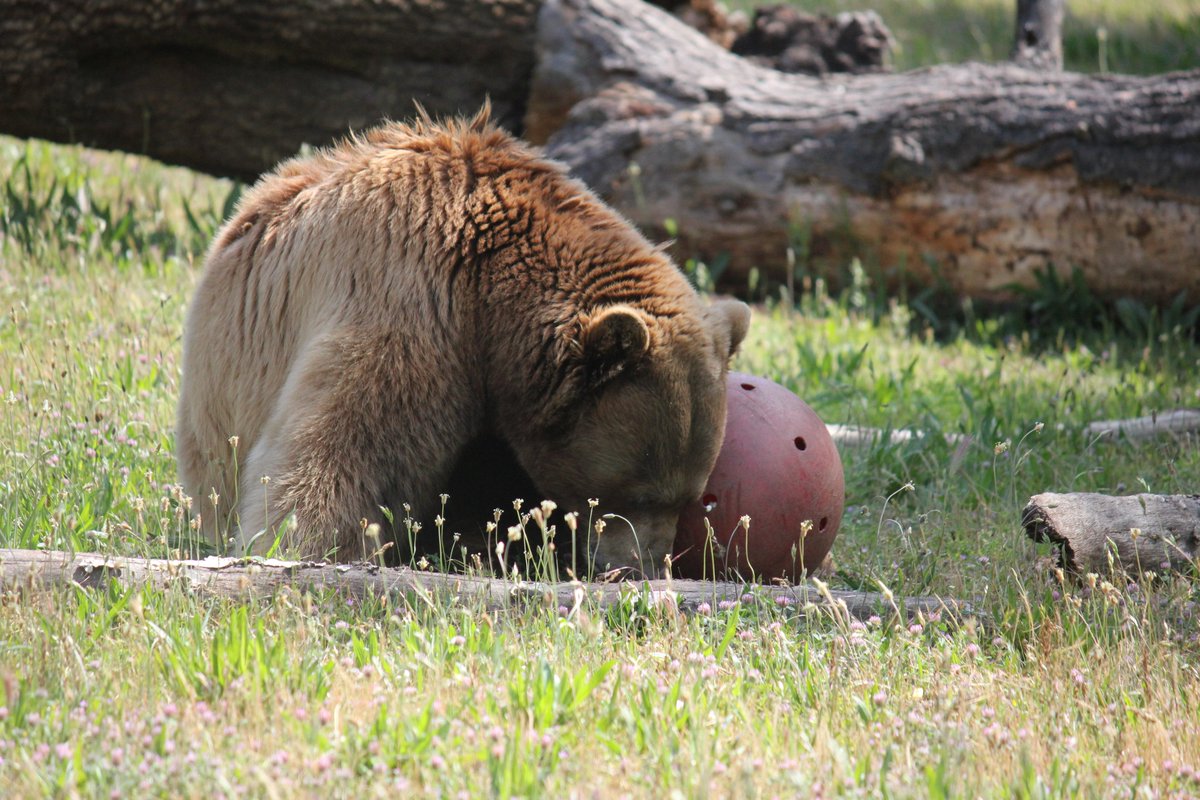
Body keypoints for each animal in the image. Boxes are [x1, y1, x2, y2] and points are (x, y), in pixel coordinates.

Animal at [174, 107, 744, 575]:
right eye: (640, 493)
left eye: (689, 497)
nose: (641, 567)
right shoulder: (412, 289)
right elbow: (350, 441)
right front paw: (309, 544)